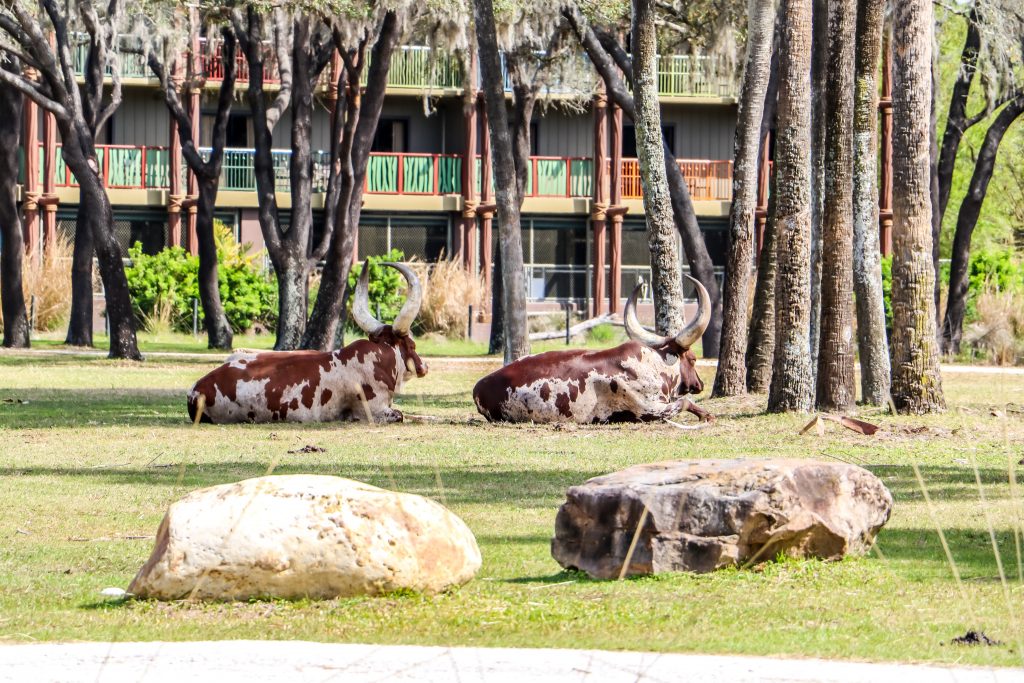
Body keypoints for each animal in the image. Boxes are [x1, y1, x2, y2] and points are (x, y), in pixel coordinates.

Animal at [189, 260, 428, 423]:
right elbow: (403, 415)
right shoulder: (374, 411)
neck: (381, 357)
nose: (424, 365)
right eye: (412, 345)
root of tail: (196, 391)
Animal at [473, 274, 708, 423]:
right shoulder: (649, 410)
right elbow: (684, 402)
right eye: (693, 359)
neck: (654, 365)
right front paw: (705, 414)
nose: (700, 383)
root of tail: (478, 387)